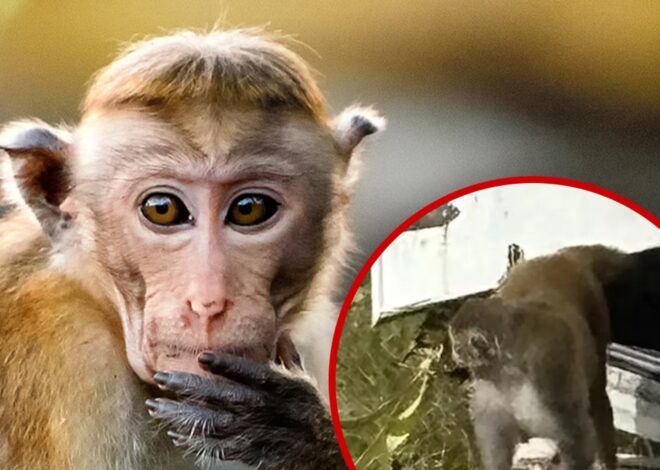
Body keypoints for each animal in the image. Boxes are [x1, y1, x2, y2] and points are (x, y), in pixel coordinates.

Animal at [449, 245, 620, 470]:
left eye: (457, 347)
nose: (454, 354)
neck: (507, 368)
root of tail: (562, 257)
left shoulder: (549, 367)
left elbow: (576, 437)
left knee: (597, 394)